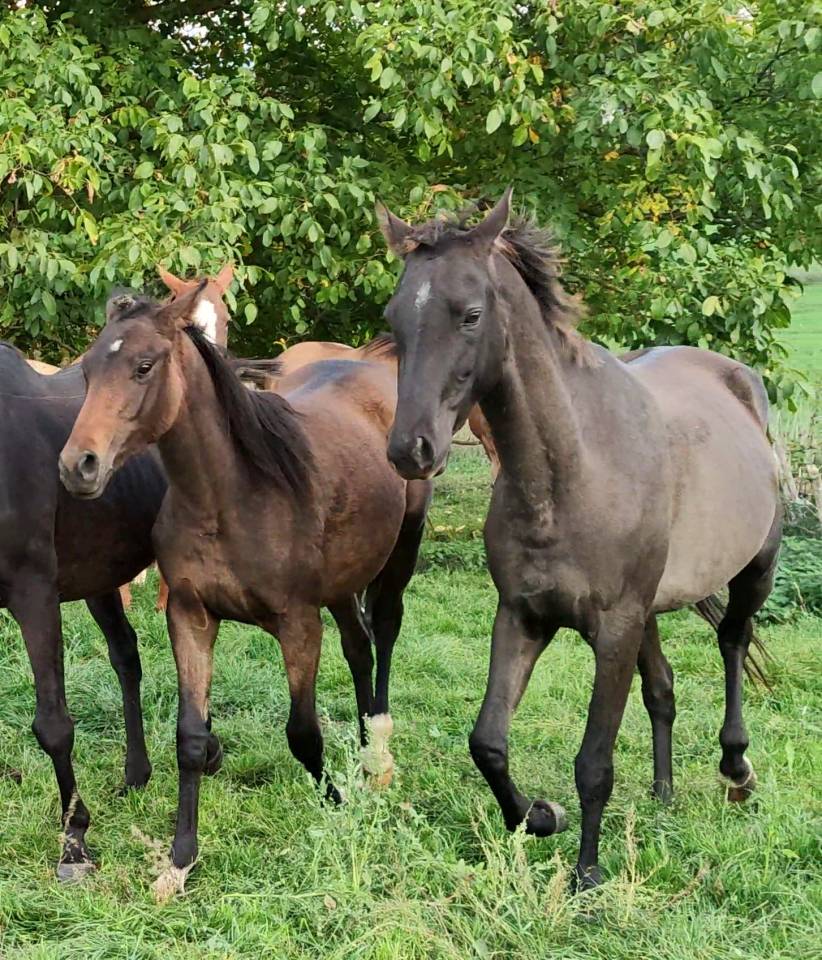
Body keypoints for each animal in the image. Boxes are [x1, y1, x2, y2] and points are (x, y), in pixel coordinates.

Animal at [0, 268, 233, 881]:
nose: (78, 467)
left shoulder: (33, 593)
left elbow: (53, 723)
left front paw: (74, 841)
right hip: (100, 580)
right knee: (127, 657)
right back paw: (138, 772)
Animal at [58, 285, 432, 899]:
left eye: (144, 366)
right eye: (87, 371)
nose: (78, 466)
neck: (233, 497)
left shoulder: (298, 623)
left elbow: (302, 733)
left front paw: (334, 800)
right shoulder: (190, 615)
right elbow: (189, 737)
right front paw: (179, 861)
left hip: (400, 552)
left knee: (386, 631)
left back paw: (377, 757)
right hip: (342, 582)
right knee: (359, 646)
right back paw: (361, 748)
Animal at [376, 189, 781, 890]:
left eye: (471, 315)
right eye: (395, 316)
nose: (411, 450)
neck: (570, 473)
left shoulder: (613, 629)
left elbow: (594, 761)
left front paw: (587, 874)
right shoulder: (523, 616)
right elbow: (487, 741)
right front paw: (539, 817)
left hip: (754, 569)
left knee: (732, 641)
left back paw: (736, 770)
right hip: (650, 611)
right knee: (663, 688)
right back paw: (664, 794)